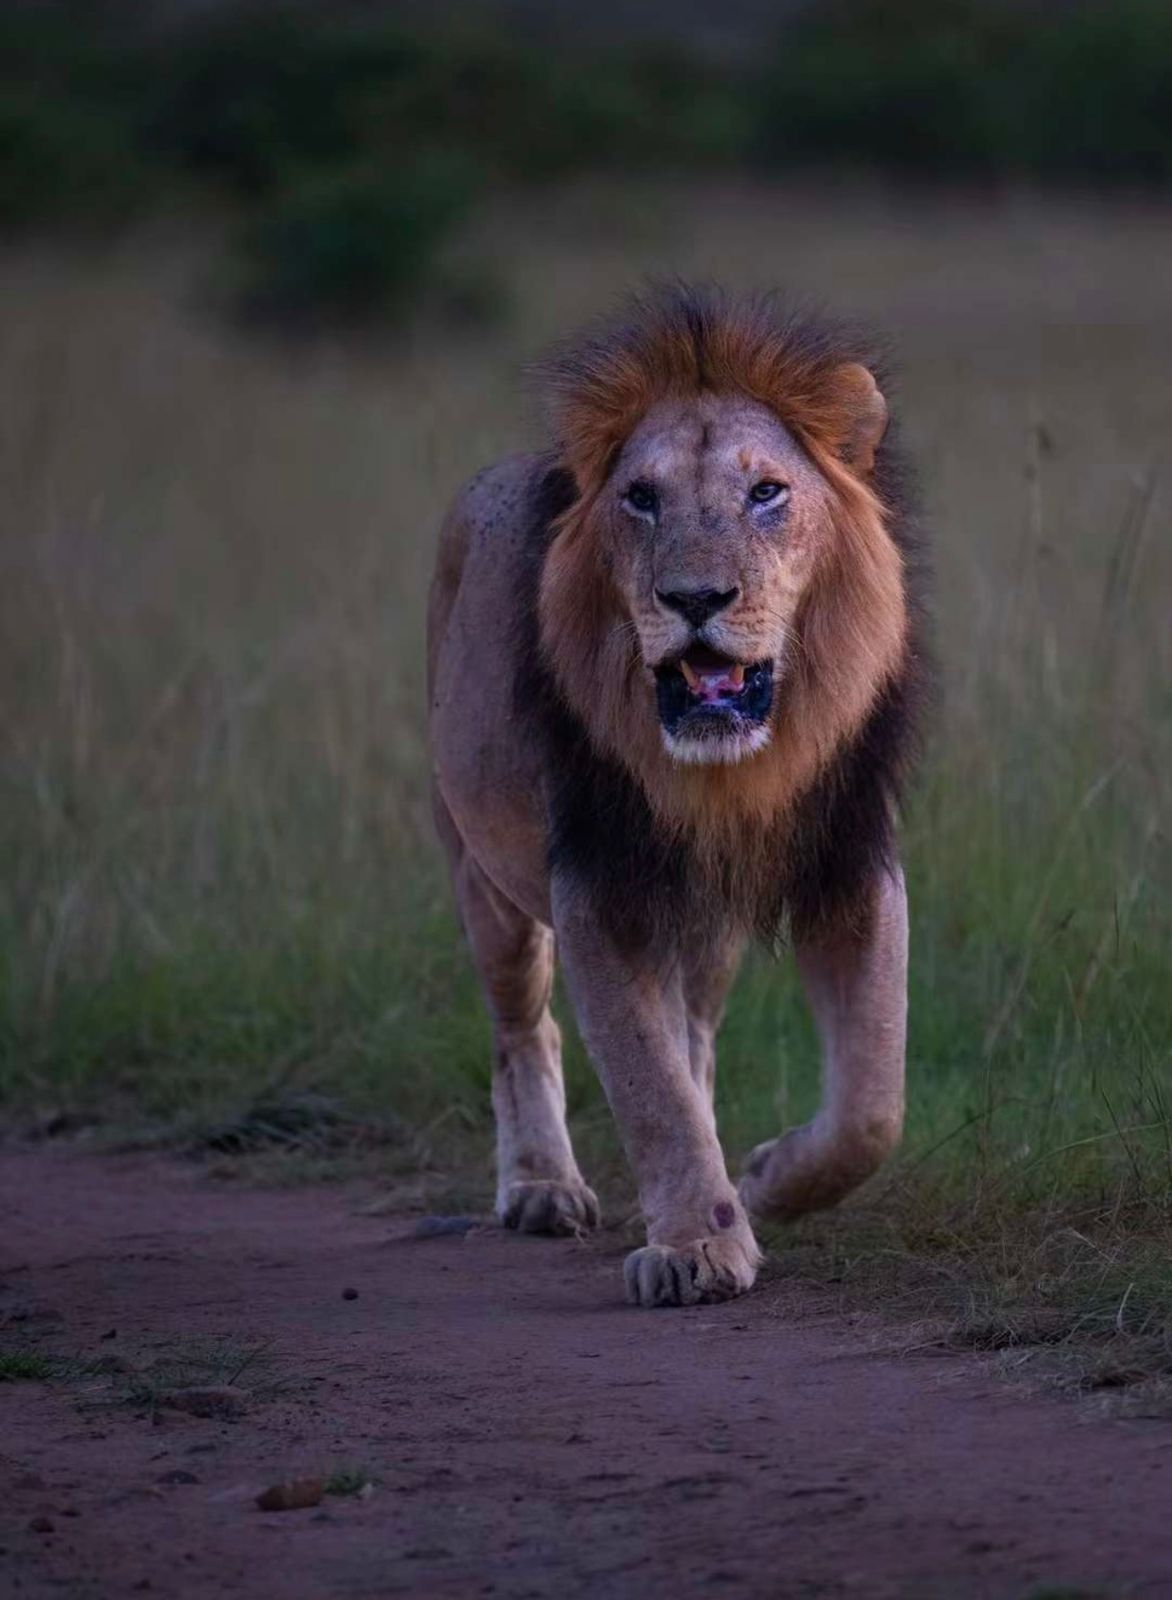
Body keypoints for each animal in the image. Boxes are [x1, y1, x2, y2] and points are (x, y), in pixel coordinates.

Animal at [427, 284, 928, 1307]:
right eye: (642, 498)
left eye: (766, 492)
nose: (696, 598)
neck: (728, 780)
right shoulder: (600, 889)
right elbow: (647, 1087)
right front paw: (697, 1245)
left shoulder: (852, 864)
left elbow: (871, 1104)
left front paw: (769, 1179)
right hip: (484, 881)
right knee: (522, 1031)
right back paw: (540, 1186)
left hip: (705, 930)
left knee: (692, 1037)